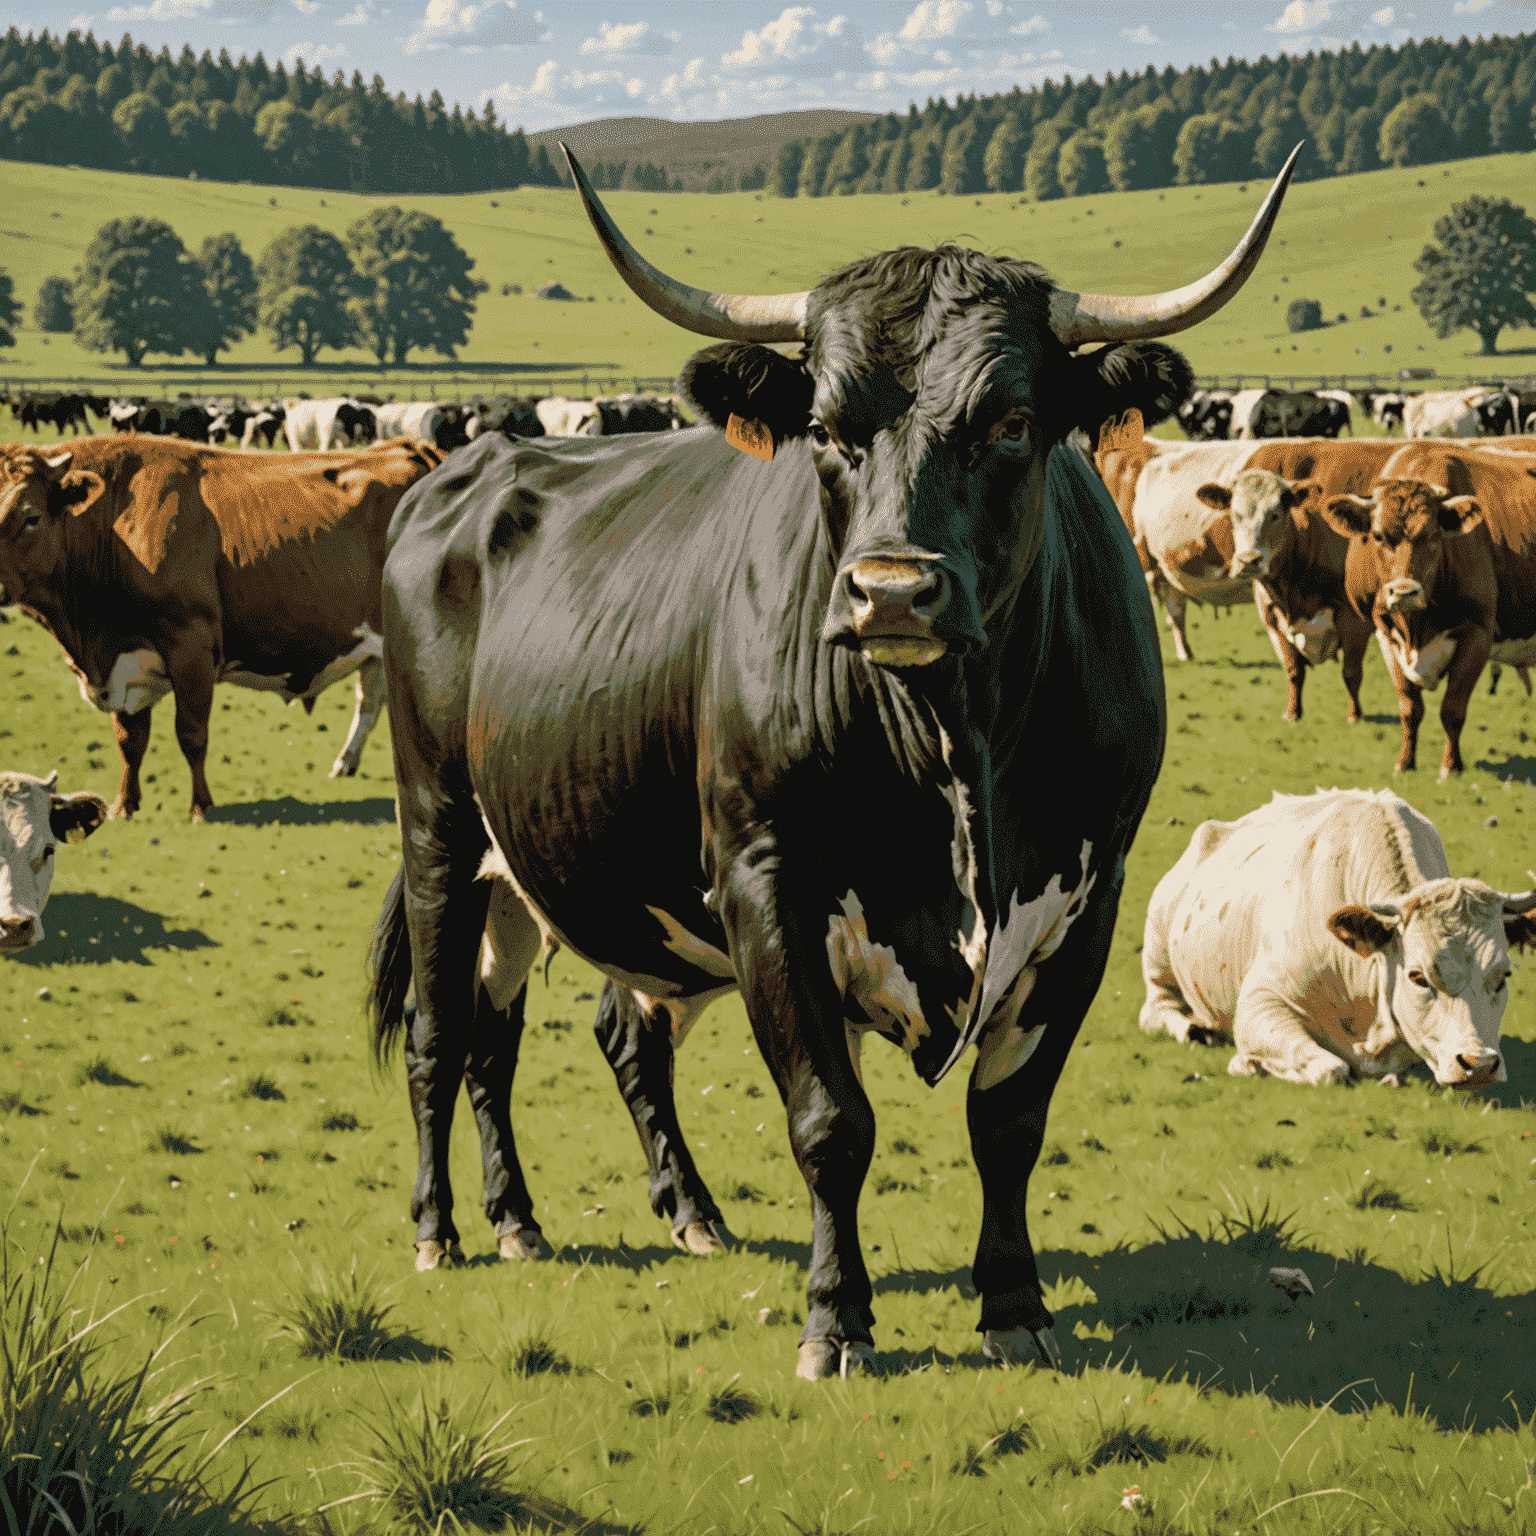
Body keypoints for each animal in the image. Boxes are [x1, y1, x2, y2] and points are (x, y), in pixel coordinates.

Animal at [0, 439, 445, 823]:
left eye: (30, 517)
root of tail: (410, 446)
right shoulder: (124, 661)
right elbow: (130, 740)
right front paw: (124, 805)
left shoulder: (190, 645)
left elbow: (192, 734)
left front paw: (201, 807)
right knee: (371, 700)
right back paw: (346, 763)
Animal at [368, 144, 1296, 1376]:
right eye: (824, 425)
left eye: (1010, 421)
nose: (891, 591)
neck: (952, 746)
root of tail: (471, 463)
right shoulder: (765, 882)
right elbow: (829, 1120)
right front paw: (836, 1318)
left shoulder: (1086, 900)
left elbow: (1009, 1121)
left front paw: (1014, 1304)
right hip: (438, 825)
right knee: (441, 1032)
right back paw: (440, 1228)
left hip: (542, 868)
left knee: (542, 1034)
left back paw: (599, 1214)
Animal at [1142, 792, 1536, 1093]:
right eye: (1418, 977)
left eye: (1503, 977)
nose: (1479, 1063)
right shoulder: (1261, 999)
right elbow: (1330, 1070)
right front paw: (1248, 1063)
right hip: (1158, 951)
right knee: (1157, 1010)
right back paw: (1194, 1028)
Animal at [1314, 445, 1536, 780]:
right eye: (1378, 536)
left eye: (1432, 536)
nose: (1405, 592)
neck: (1417, 631)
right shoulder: (1384, 632)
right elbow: (1409, 707)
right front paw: (1405, 762)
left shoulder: (1478, 634)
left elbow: (1453, 709)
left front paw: (1451, 767)